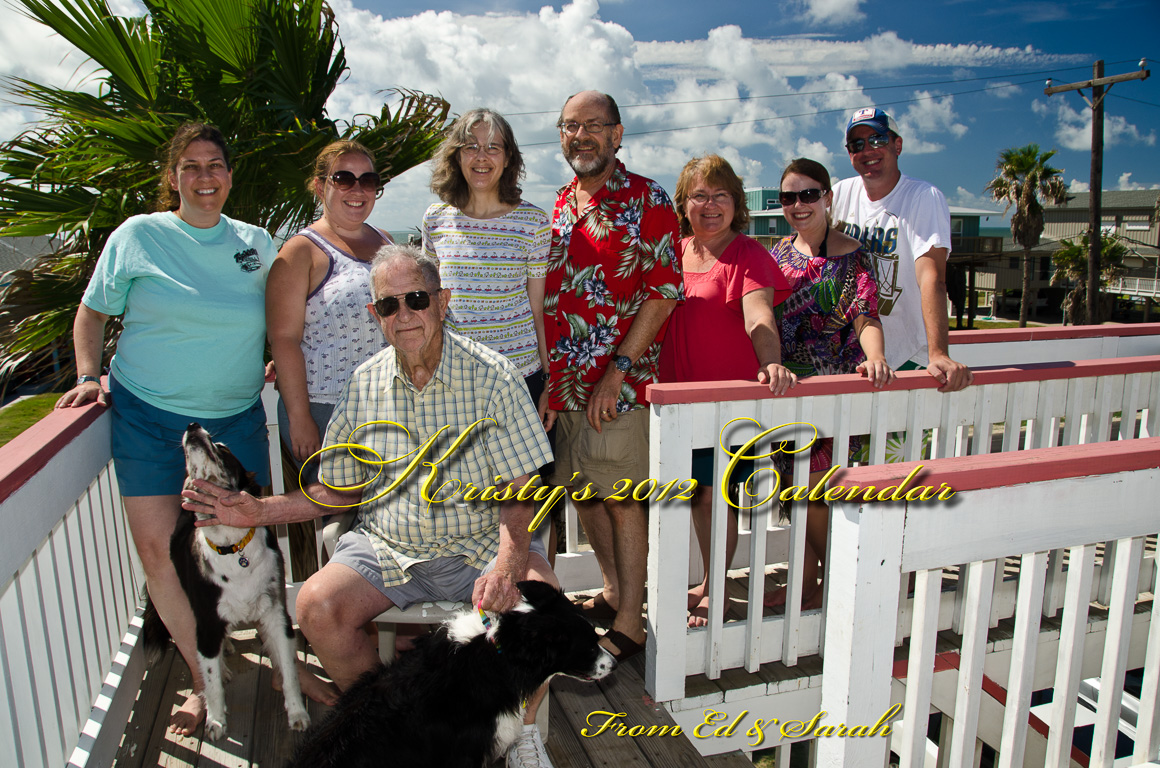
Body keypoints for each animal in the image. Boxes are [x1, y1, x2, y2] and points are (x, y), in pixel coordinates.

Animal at [142, 424, 310, 742]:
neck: (232, 547)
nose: (192, 426)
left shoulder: (276, 613)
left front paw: (297, 714)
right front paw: (216, 721)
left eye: (223, 448)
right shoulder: (207, 621)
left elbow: (290, 671)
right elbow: (212, 682)